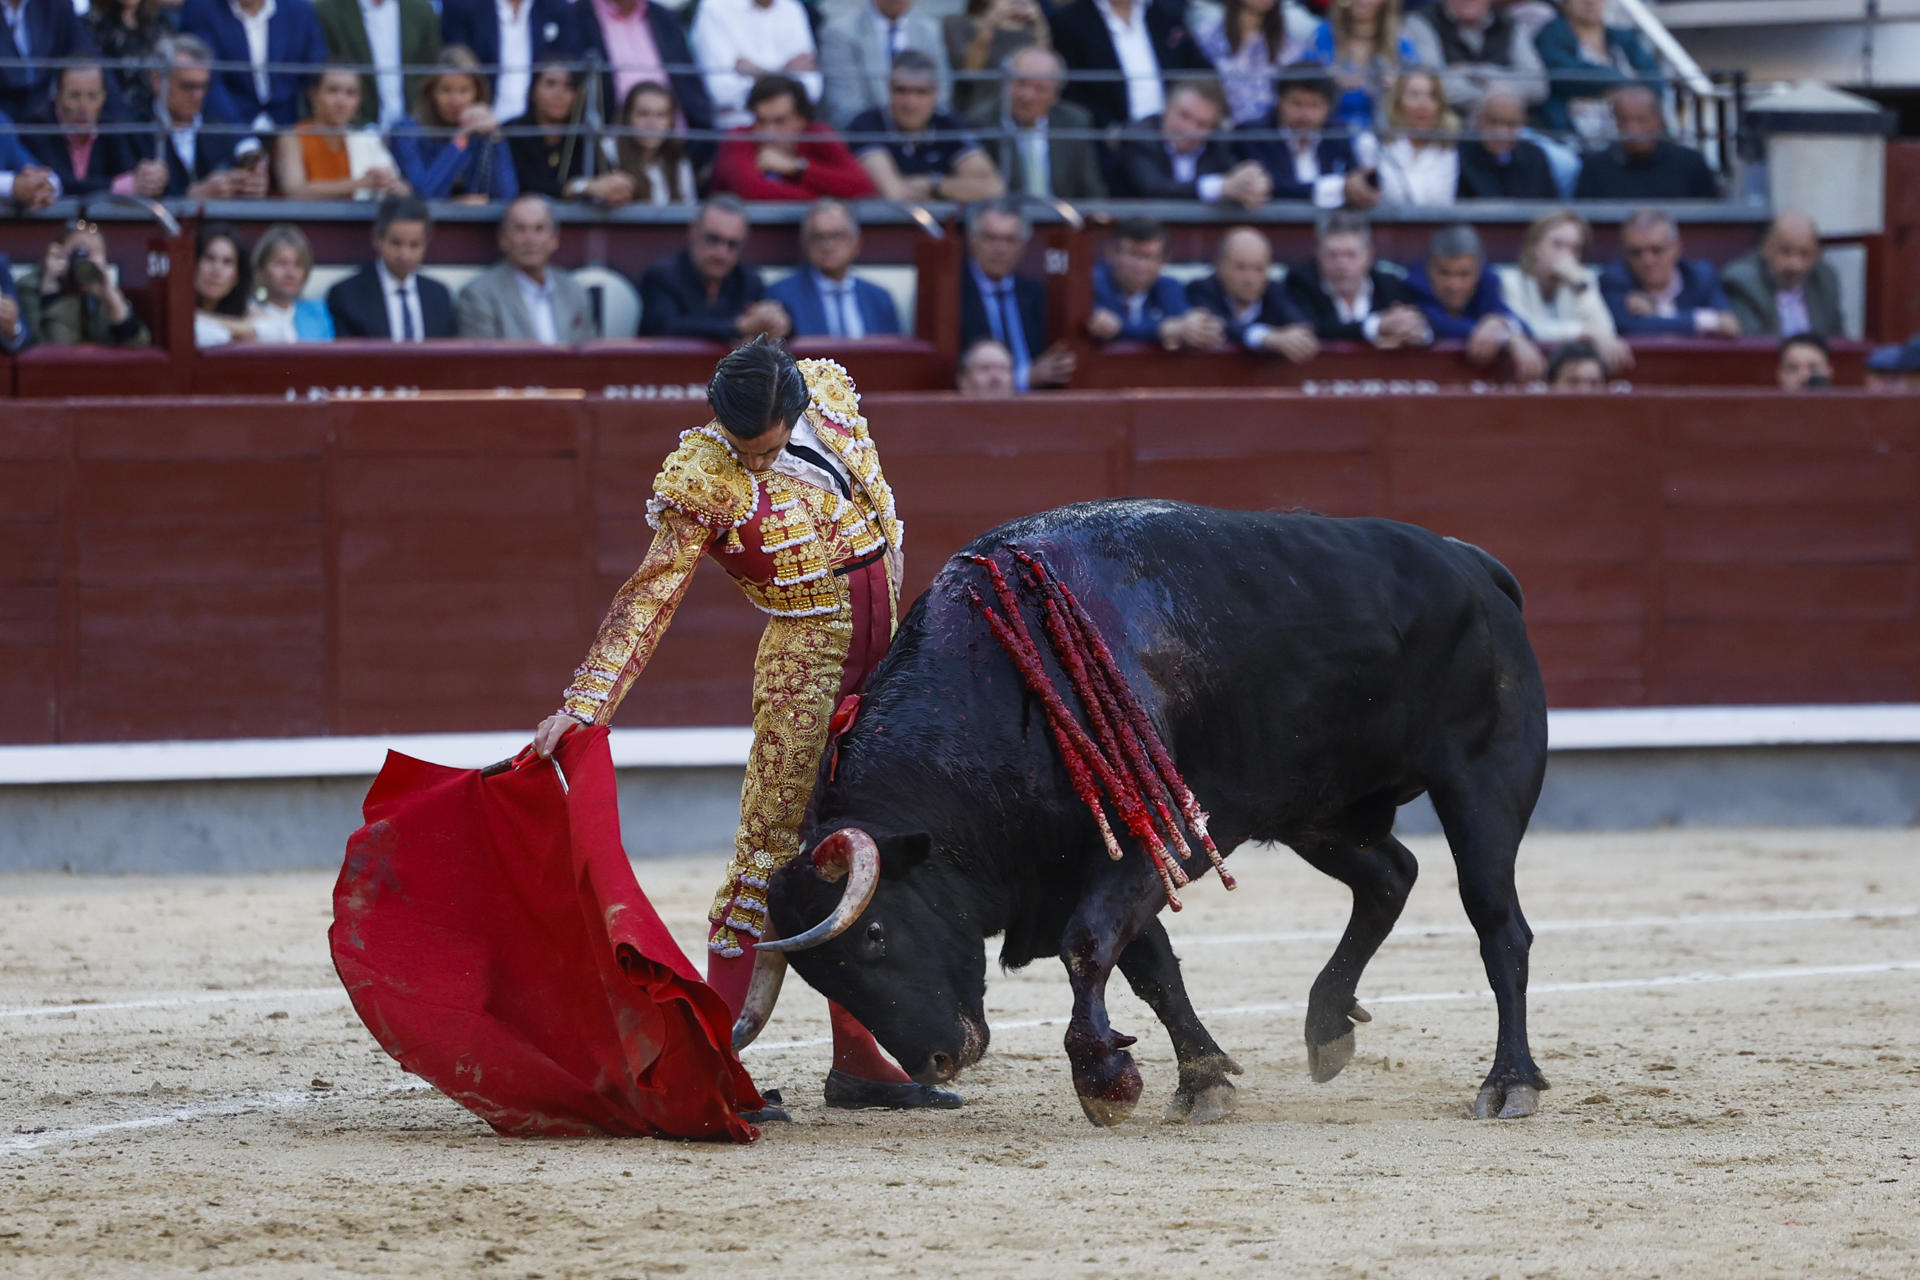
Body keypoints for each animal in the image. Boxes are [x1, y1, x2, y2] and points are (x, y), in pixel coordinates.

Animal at [760, 498, 1543, 1120]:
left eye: (876, 935)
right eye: (819, 976)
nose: (936, 1061)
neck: (1001, 685)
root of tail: (1474, 564)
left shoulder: (1174, 833)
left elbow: (1088, 943)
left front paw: (1104, 1080)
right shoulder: (1084, 856)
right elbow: (1150, 965)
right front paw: (1201, 1081)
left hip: (1483, 783)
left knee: (1497, 923)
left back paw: (1509, 1083)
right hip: (1318, 813)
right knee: (1390, 877)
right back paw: (1326, 1025)